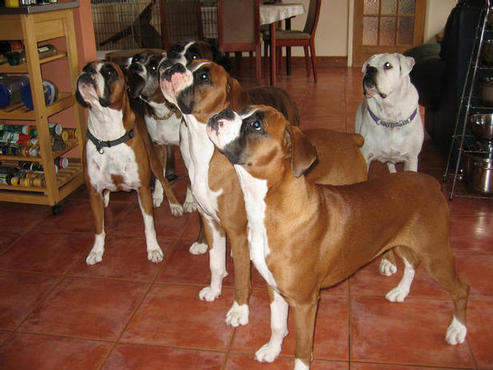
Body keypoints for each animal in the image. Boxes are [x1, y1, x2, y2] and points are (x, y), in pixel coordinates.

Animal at [76, 61, 184, 266]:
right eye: (85, 68)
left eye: (109, 71)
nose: (88, 73)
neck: (108, 137)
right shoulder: (93, 192)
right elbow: (98, 228)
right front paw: (96, 251)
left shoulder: (143, 189)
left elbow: (149, 224)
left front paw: (153, 249)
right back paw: (106, 197)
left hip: (153, 161)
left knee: (164, 180)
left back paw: (175, 205)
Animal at [160, 59, 368, 328]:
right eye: (190, 62)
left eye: (204, 76)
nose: (170, 66)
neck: (208, 153)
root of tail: (351, 139)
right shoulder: (211, 223)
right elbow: (215, 263)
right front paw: (215, 290)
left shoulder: (237, 233)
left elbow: (241, 279)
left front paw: (239, 310)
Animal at [207, 105, 468, 370]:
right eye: (242, 110)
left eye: (256, 125)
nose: (222, 113)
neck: (271, 205)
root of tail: (432, 182)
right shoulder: (275, 289)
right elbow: (277, 325)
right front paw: (272, 350)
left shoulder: (305, 303)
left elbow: (302, 347)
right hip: (404, 241)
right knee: (412, 264)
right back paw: (401, 292)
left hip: (436, 256)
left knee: (461, 289)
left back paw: (457, 330)